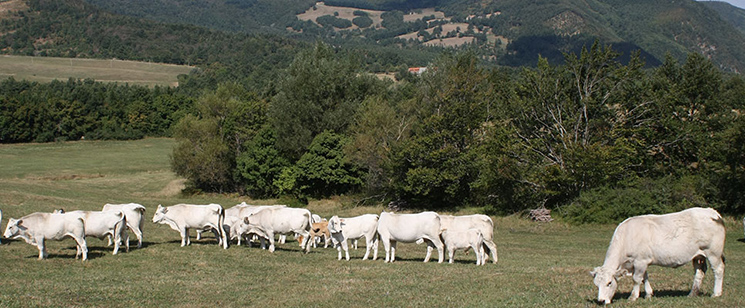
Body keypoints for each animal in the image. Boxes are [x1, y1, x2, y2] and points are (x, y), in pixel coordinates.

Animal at [588, 207, 724, 304]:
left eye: (609, 283)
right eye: (596, 285)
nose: (601, 300)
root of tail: (712, 212)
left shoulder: (640, 261)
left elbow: (637, 279)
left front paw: (633, 297)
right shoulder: (641, 262)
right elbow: (645, 278)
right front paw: (648, 294)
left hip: (713, 252)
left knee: (718, 270)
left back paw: (716, 293)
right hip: (698, 255)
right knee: (699, 271)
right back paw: (692, 293)